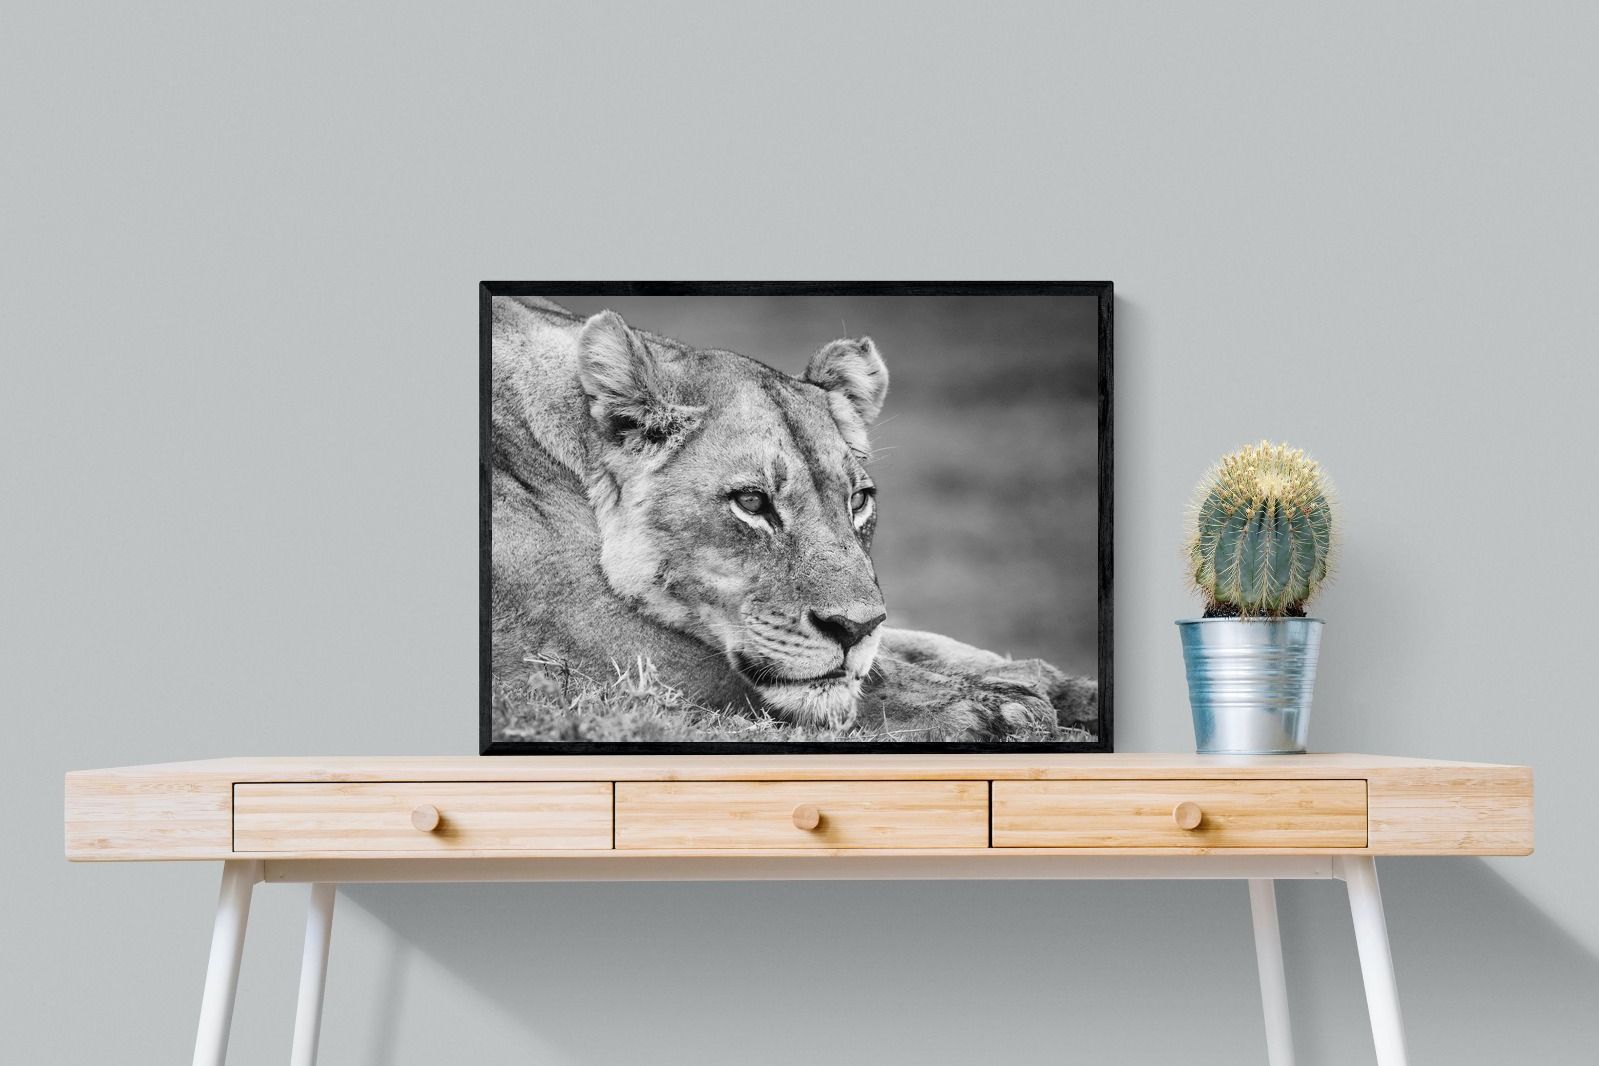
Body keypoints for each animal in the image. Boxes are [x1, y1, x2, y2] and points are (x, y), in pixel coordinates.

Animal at [489, 295, 1096, 741]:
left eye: (858, 501)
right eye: (752, 503)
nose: (853, 630)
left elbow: (912, 644)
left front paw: (1061, 687)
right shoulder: (585, 643)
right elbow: (851, 679)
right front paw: (997, 708)